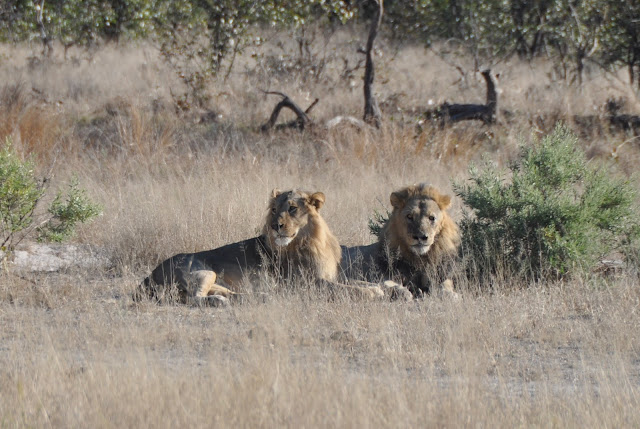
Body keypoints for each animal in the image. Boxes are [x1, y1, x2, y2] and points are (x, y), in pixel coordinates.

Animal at [136, 189, 380, 305]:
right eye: (273, 209)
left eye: (292, 208)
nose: (275, 225)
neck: (312, 240)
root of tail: (148, 277)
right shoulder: (307, 283)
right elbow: (349, 289)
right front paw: (372, 292)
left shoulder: (330, 276)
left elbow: (357, 282)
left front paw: (380, 287)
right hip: (204, 270)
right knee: (194, 298)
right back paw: (219, 302)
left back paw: (259, 296)